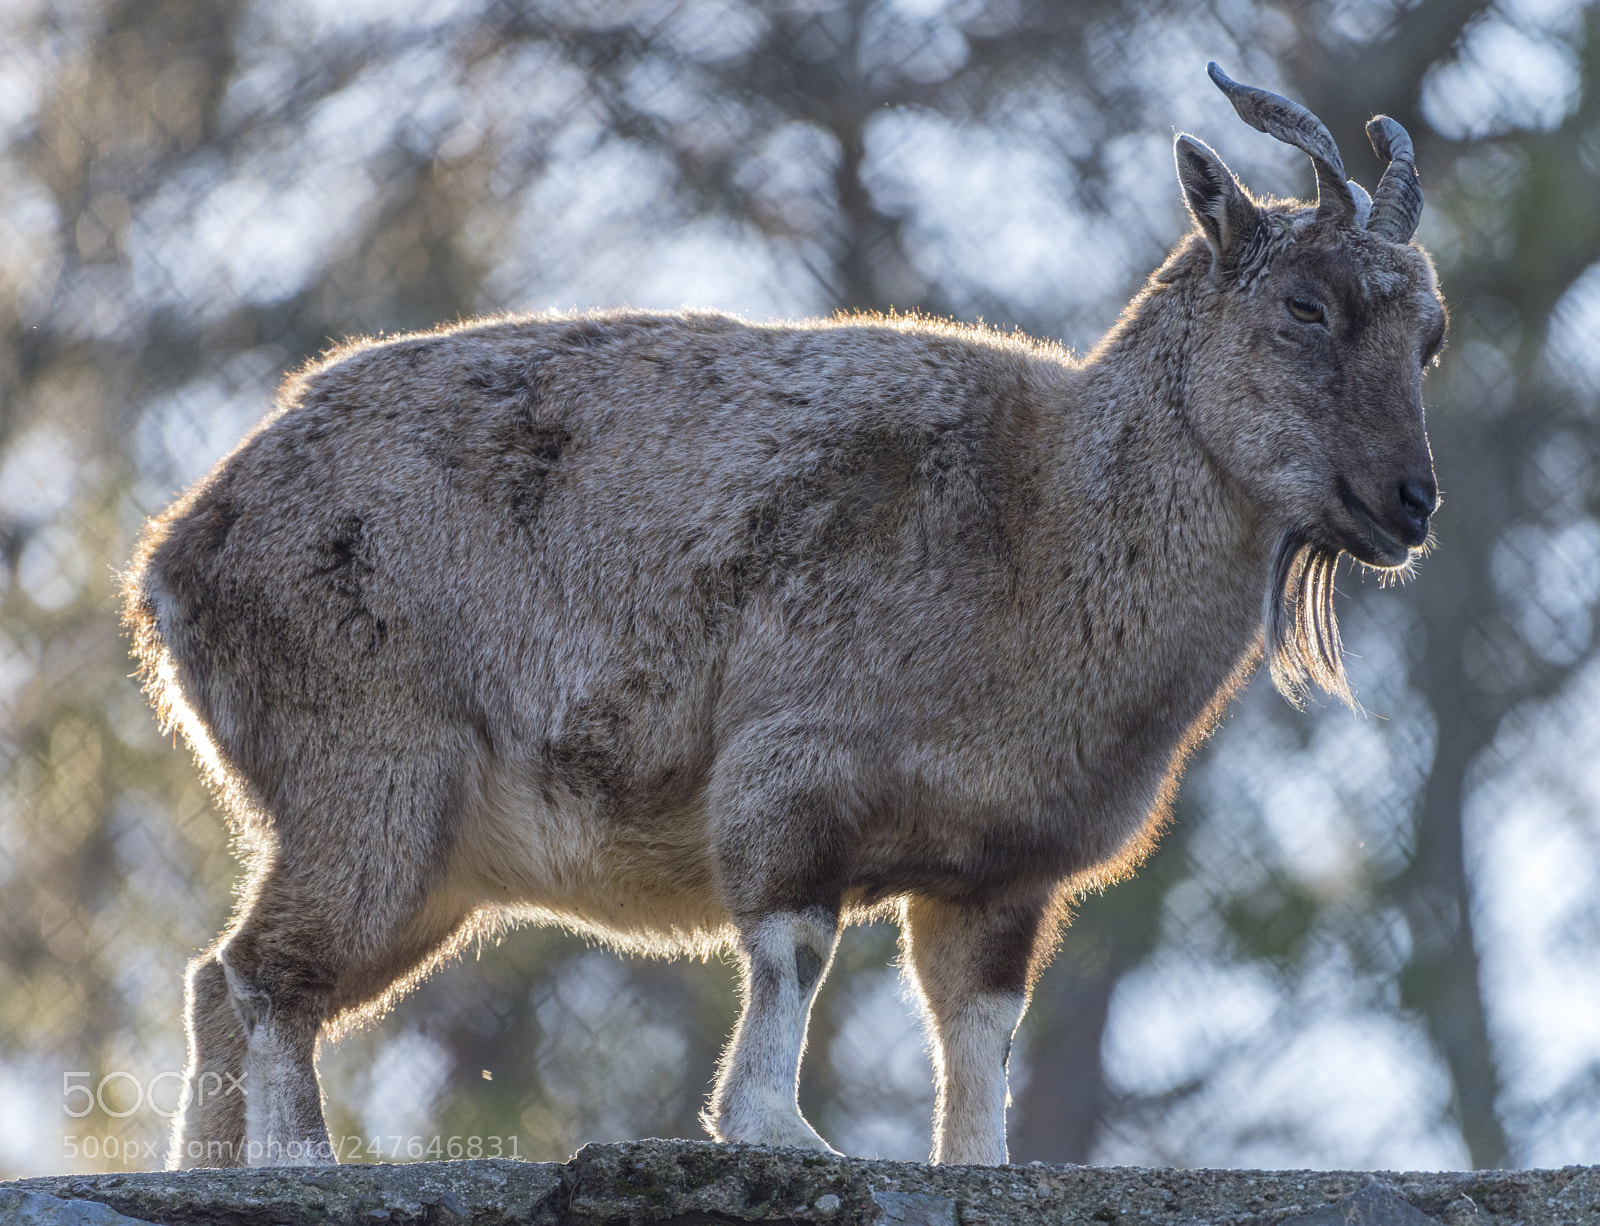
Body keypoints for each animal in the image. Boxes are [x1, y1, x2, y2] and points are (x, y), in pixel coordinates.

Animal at [124, 64, 1444, 1169]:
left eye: (1428, 335)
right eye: (1306, 306)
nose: (1410, 502)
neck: (1047, 518)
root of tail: (180, 554)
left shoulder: (1002, 868)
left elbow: (978, 1027)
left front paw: (976, 1163)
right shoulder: (798, 766)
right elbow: (792, 943)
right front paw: (775, 1126)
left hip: (430, 858)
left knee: (217, 982)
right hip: (373, 767)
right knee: (267, 976)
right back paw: (300, 1163)